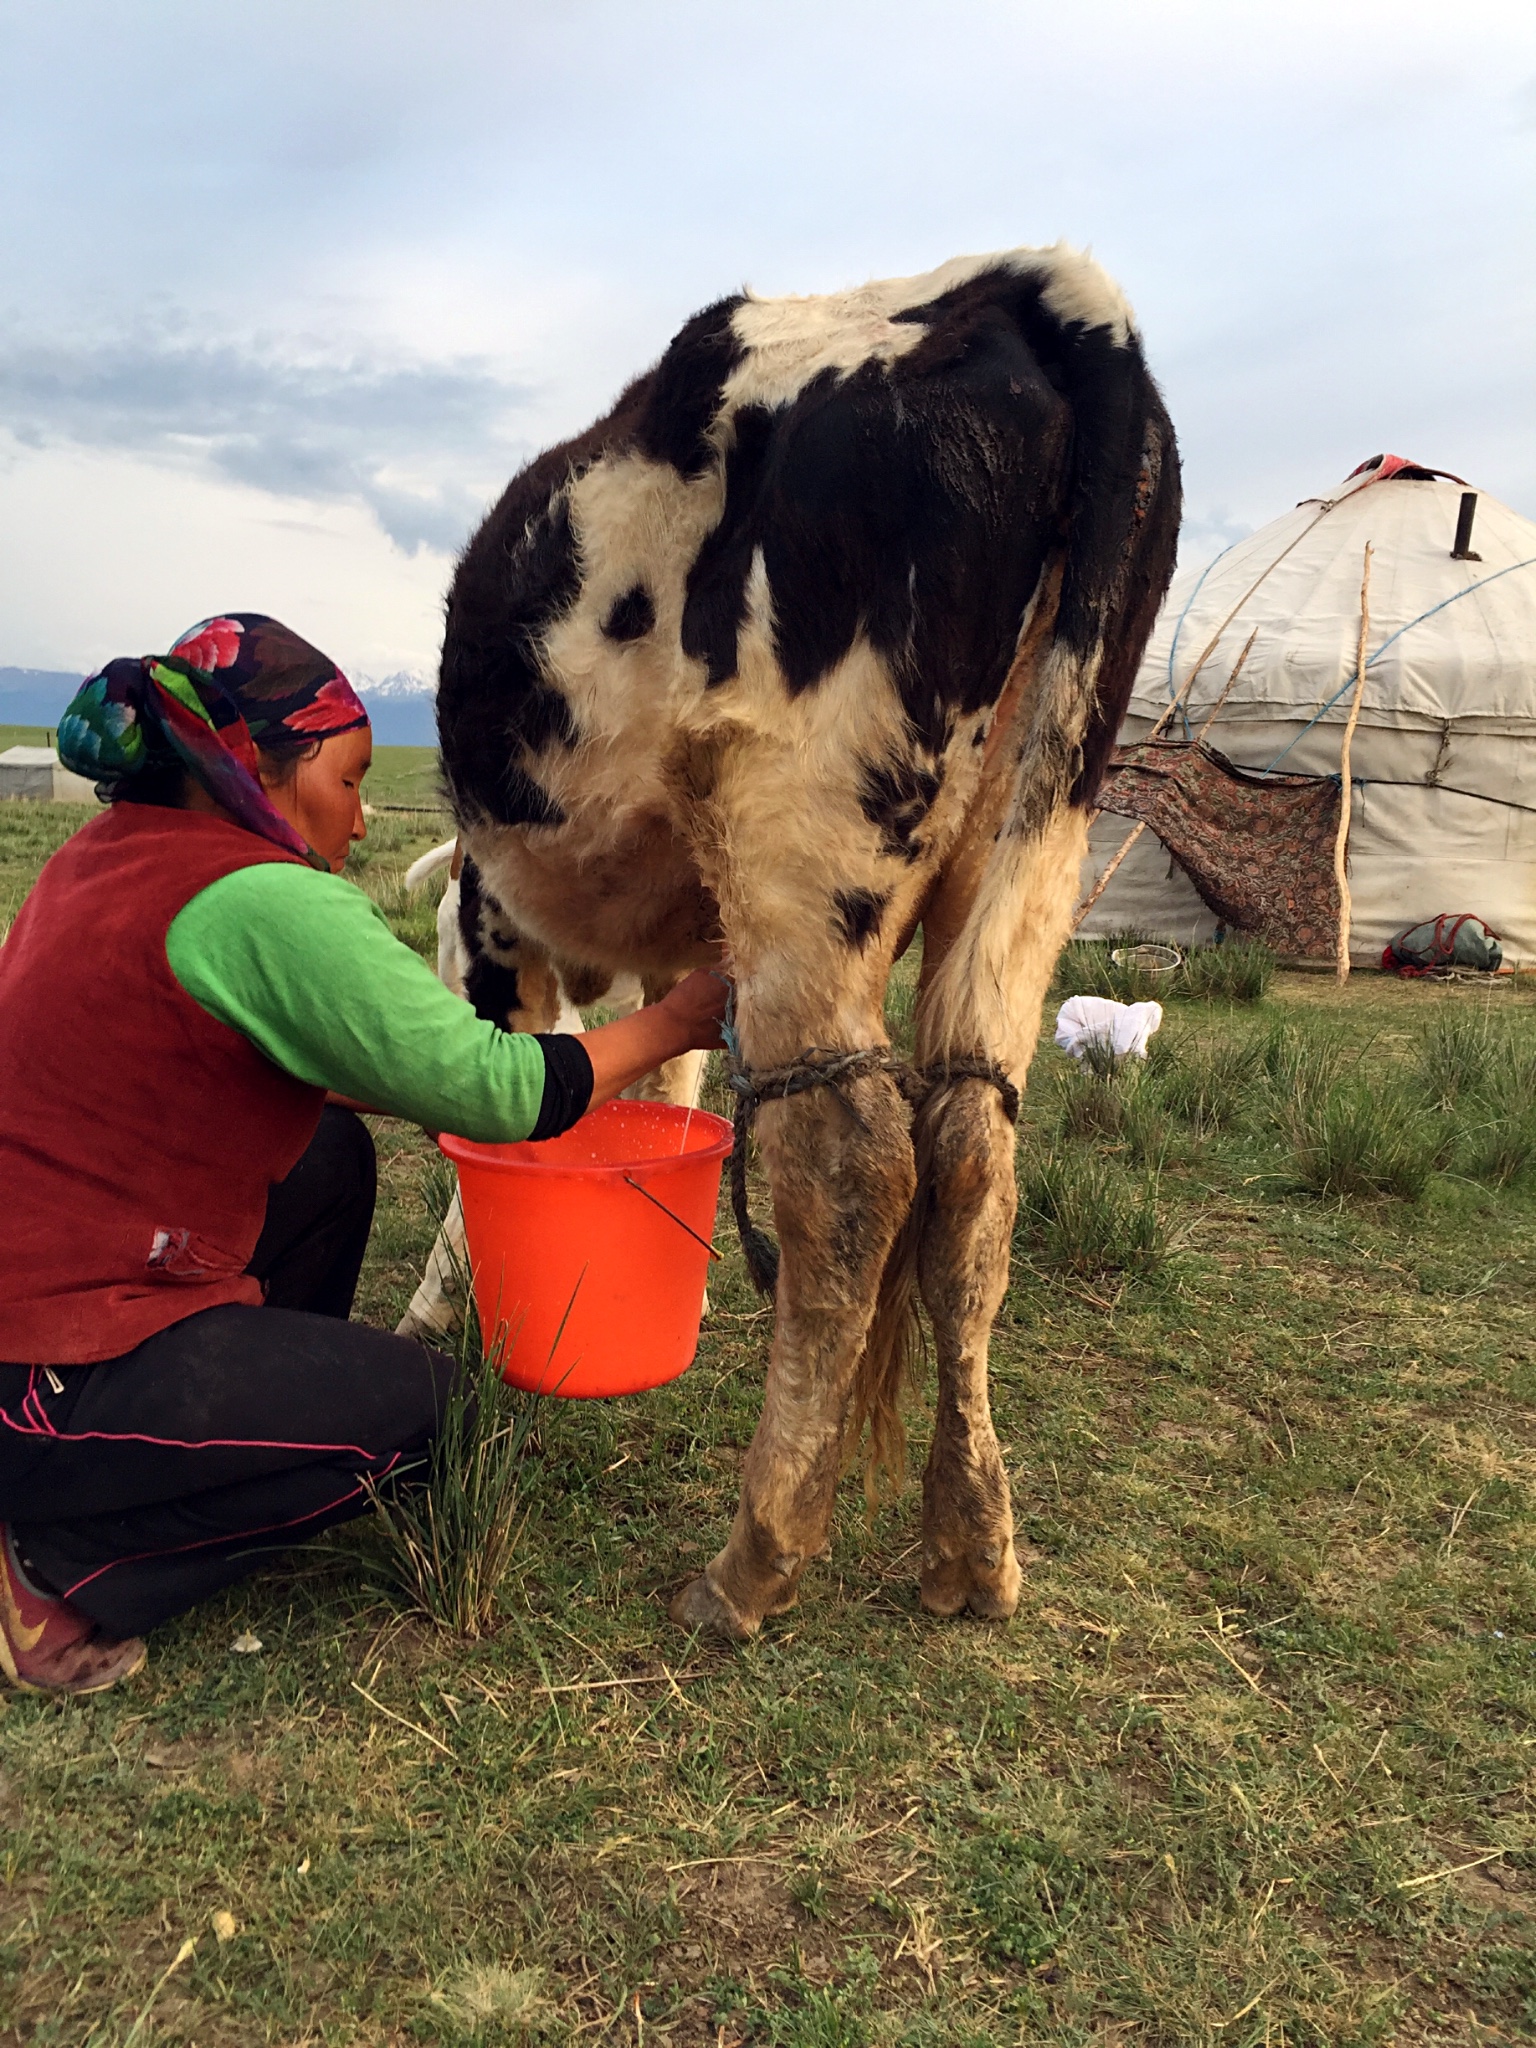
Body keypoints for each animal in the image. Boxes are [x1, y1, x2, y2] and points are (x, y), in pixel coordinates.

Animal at [434, 247, 1179, 1638]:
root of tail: (1035, 292)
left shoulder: (497, 934)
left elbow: (496, 1119)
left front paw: (443, 1303)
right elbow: (659, 1077)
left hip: (802, 829)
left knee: (852, 1163)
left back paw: (753, 1561)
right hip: (1037, 824)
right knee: (972, 1157)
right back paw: (971, 1548)